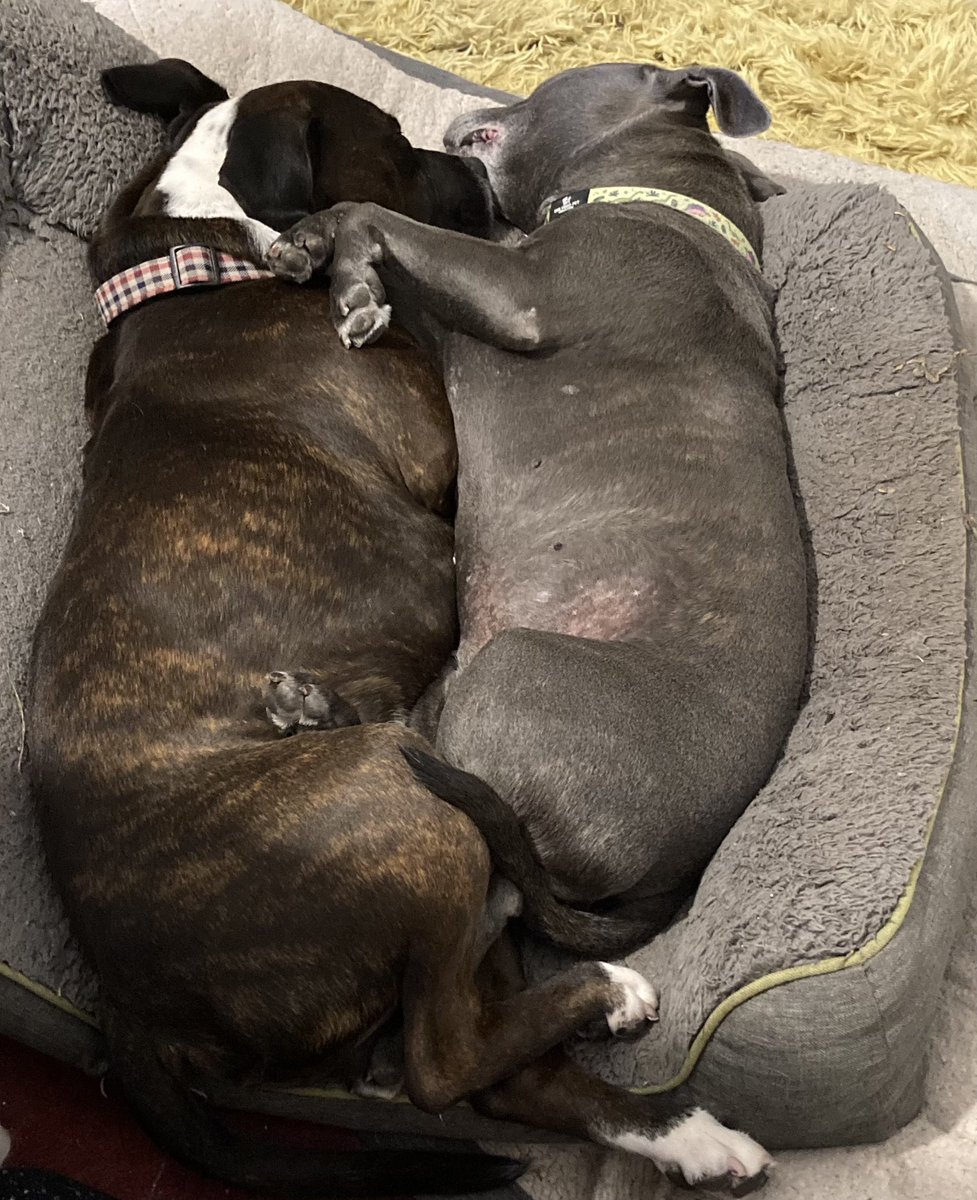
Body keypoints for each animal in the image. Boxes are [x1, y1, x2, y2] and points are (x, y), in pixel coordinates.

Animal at [26, 65, 667, 1200]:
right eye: (397, 143)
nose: (477, 177)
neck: (202, 251)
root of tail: (132, 1014)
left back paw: (699, 1138)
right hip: (402, 816)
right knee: (441, 1065)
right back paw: (605, 991)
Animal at [270, 68, 811, 964]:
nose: (463, 112)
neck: (656, 194)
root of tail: (667, 876)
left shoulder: (513, 294)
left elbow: (374, 213)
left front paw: (336, 267)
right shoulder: (457, 310)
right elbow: (372, 231)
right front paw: (326, 259)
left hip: (515, 668)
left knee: (461, 823)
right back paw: (315, 708)